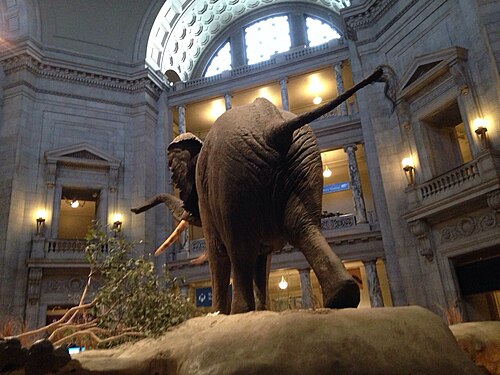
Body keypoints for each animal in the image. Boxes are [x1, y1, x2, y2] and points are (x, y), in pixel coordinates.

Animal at [133, 67, 394, 314]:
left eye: (172, 172)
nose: (135, 210)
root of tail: (274, 126)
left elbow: (219, 251)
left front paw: (217, 313)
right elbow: (262, 257)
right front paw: (261, 310)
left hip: (235, 170)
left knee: (238, 248)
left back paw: (239, 311)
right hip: (303, 157)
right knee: (303, 227)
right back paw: (341, 295)